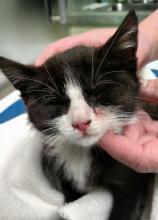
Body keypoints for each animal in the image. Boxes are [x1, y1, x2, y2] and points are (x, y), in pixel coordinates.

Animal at [0, 9, 156, 220]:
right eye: (57, 102)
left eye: (97, 93)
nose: (81, 123)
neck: (83, 152)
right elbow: (70, 199)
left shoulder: (132, 185)